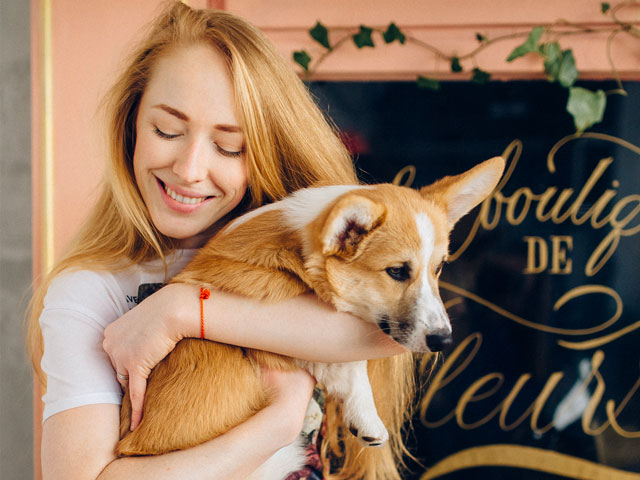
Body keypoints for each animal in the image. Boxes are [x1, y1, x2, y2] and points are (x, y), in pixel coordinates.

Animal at [115, 156, 504, 478]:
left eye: (438, 268)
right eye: (396, 271)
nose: (444, 340)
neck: (300, 250)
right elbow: (353, 367)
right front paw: (365, 417)